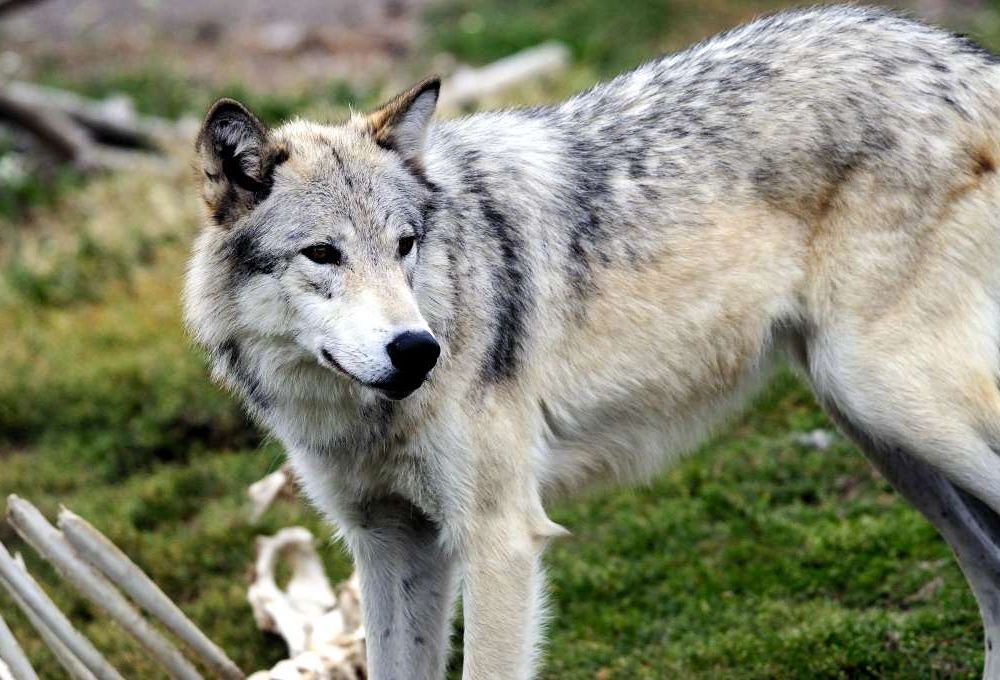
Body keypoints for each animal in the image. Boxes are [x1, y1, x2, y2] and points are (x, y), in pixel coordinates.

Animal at [188, 6, 1000, 680]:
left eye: (405, 245)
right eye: (323, 254)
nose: (418, 350)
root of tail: (964, 57)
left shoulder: (500, 541)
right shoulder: (391, 545)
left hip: (887, 399)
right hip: (878, 431)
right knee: (990, 570)